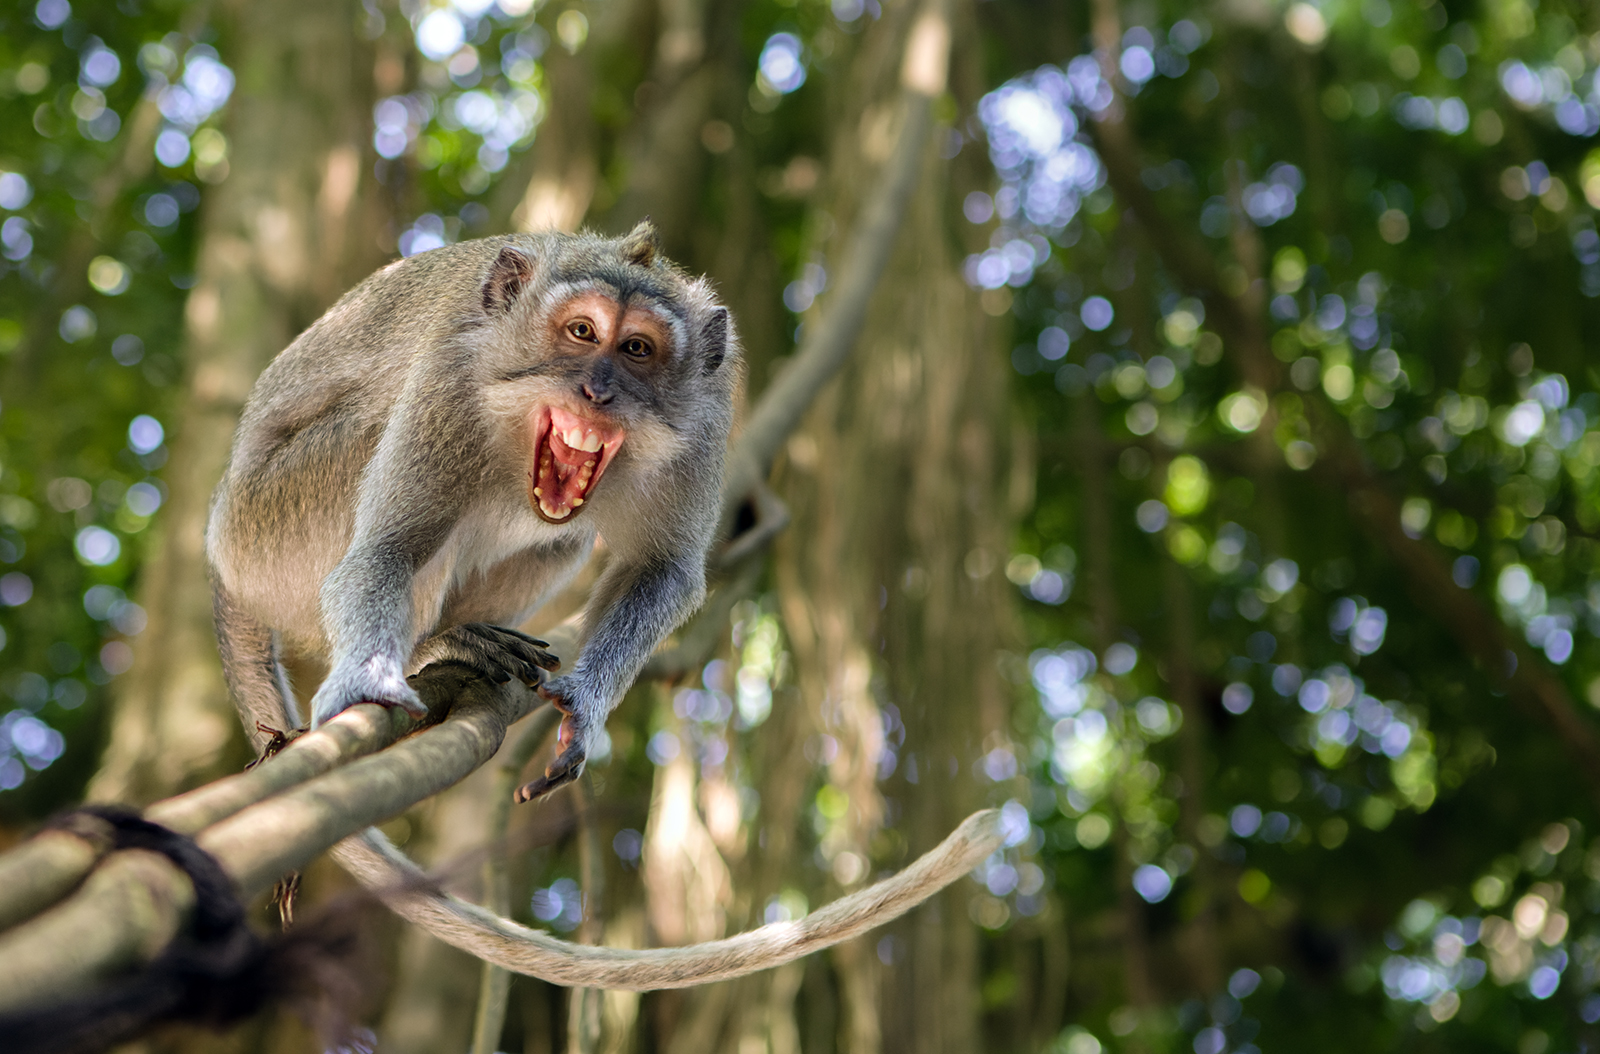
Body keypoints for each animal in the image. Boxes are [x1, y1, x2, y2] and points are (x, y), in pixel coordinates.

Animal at [201, 222, 742, 799]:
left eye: (638, 348)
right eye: (582, 331)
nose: (597, 391)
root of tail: (217, 530)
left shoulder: (705, 425)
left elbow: (659, 570)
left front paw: (585, 707)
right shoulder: (451, 380)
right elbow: (388, 550)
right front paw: (366, 680)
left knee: (563, 539)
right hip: (268, 527)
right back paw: (433, 645)